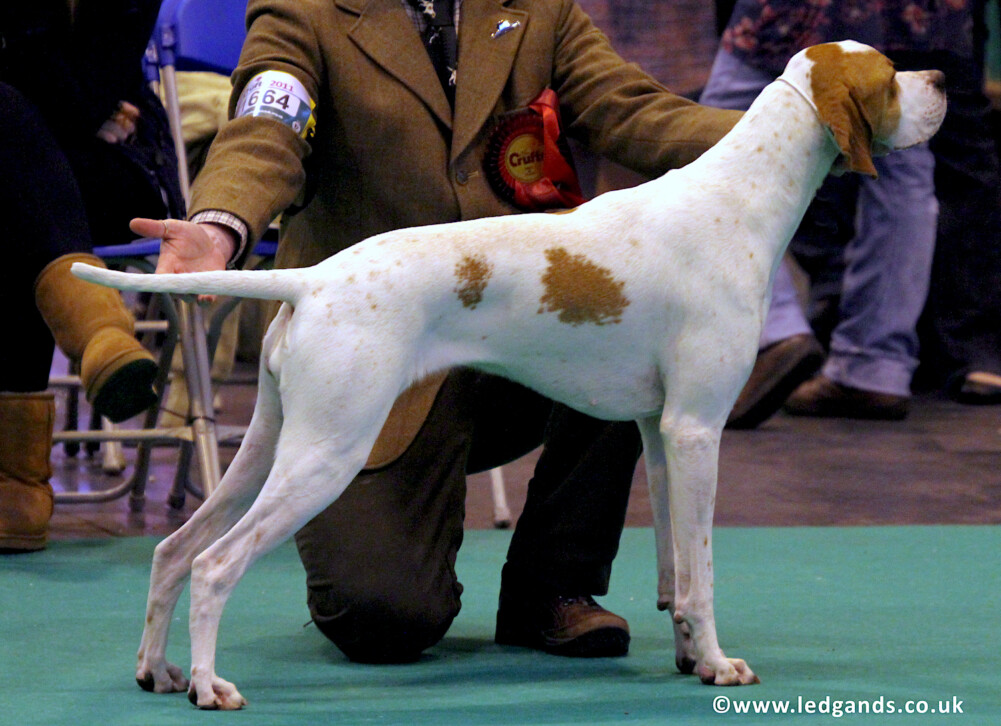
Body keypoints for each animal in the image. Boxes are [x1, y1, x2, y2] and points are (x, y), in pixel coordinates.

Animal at [72, 41, 944, 708]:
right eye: (888, 72)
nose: (940, 79)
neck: (741, 196)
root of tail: (310, 278)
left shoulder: (661, 435)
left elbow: (676, 570)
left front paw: (690, 656)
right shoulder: (699, 430)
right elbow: (702, 573)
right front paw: (719, 665)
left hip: (270, 444)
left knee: (174, 550)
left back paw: (158, 670)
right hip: (328, 454)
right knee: (216, 564)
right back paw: (209, 685)